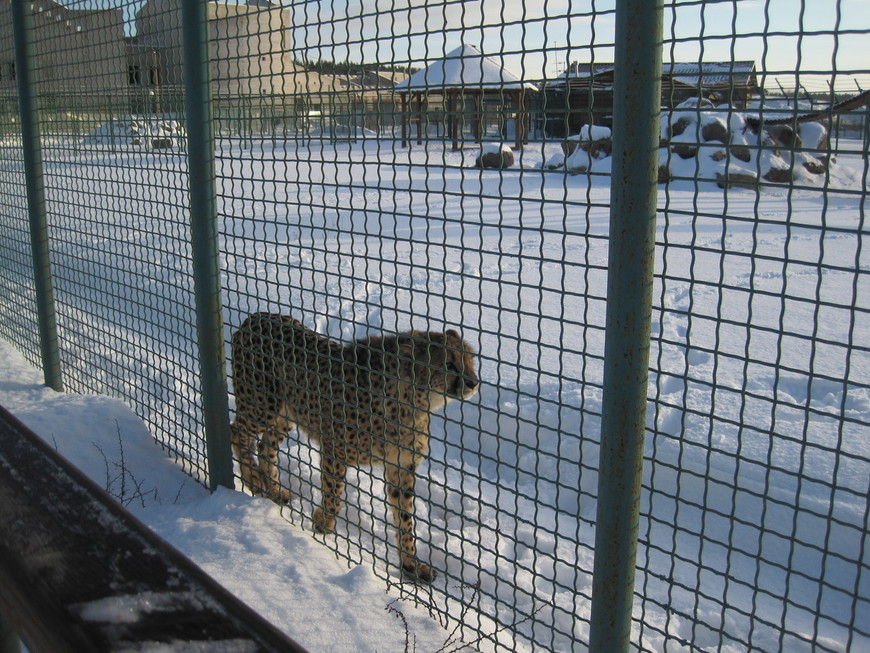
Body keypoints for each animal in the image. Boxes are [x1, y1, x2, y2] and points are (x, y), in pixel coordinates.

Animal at [228, 310, 480, 580]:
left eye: (470, 360)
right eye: (448, 364)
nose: (473, 383)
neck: (413, 400)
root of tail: (257, 316)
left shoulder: (401, 467)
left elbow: (405, 517)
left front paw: (412, 564)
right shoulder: (334, 449)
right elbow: (333, 491)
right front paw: (324, 522)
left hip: (285, 415)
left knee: (266, 447)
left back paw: (275, 490)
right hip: (262, 405)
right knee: (237, 431)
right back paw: (253, 479)